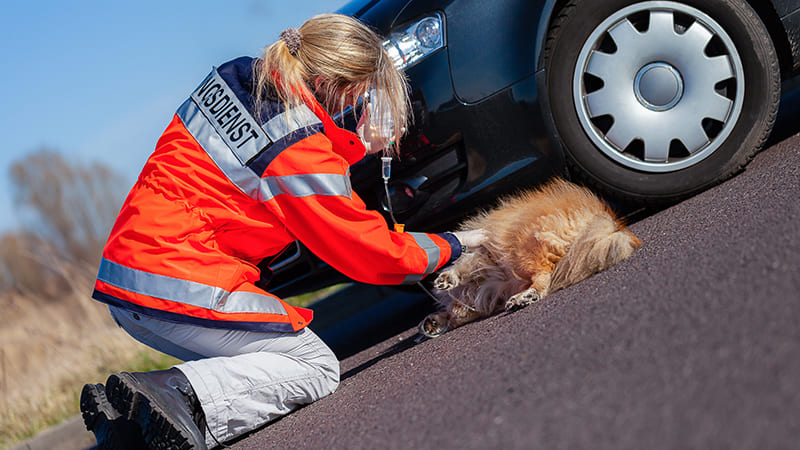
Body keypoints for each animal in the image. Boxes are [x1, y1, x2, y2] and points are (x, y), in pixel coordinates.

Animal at [422, 178, 640, 336]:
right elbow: (459, 310)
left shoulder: (484, 256)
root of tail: (608, 219)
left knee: (544, 277)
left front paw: (448, 279)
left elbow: (464, 266)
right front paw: (435, 322)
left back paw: (525, 296)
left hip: (523, 249)